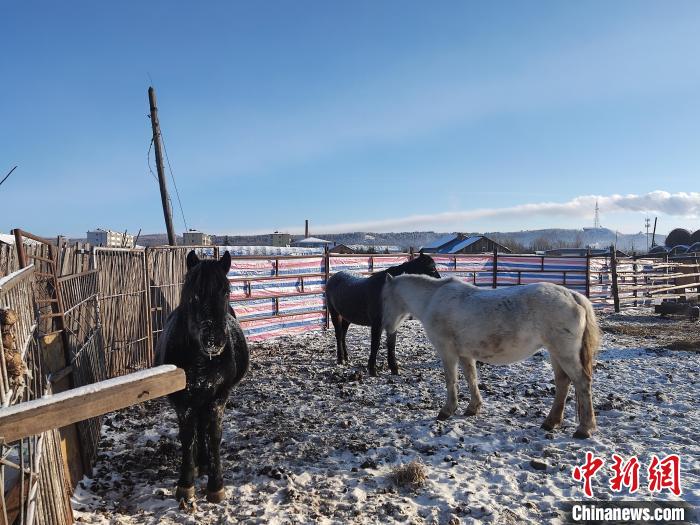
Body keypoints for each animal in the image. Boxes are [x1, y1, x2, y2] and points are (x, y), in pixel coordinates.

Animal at [156, 251, 249, 504]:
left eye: (226, 291)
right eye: (194, 293)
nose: (214, 340)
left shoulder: (219, 396)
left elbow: (214, 434)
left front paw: (216, 486)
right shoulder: (181, 400)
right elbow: (187, 436)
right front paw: (185, 484)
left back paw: (205, 463)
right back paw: (199, 464)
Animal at [380, 274, 600, 438]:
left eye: (384, 299)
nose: (386, 326)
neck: (432, 299)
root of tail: (572, 294)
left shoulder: (447, 352)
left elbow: (451, 381)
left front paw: (447, 411)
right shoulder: (465, 354)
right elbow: (471, 379)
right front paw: (473, 408)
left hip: (564, 353)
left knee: (582, 382)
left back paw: (584, 429)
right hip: (556, 353)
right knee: (563, 383)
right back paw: (550, 422)